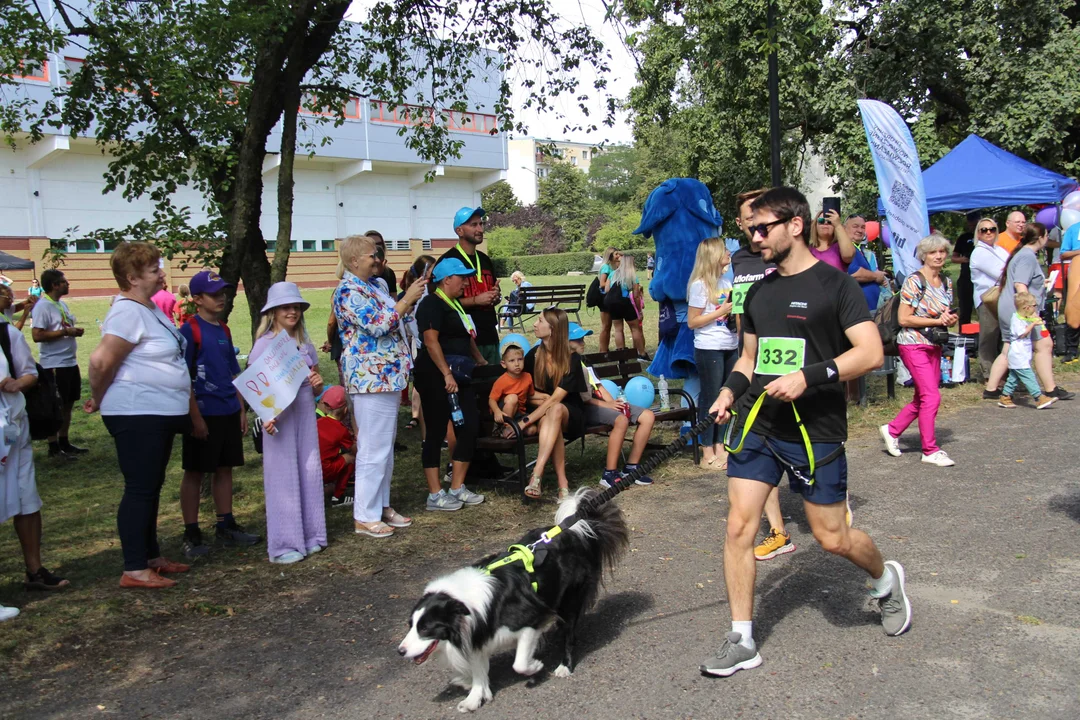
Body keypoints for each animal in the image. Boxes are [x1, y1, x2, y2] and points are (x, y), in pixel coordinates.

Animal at [401, 487, 630, 712]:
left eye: (425, 628)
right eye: (411, 625)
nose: (400, 651)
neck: (466, 604)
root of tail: (576, 530)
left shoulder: (531, 620)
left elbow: (519, 663)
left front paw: (535, 666)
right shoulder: (478, 632)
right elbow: (478, 669)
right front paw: (474, 697)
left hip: (570, 599)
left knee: (569, 633)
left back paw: (564, 665)